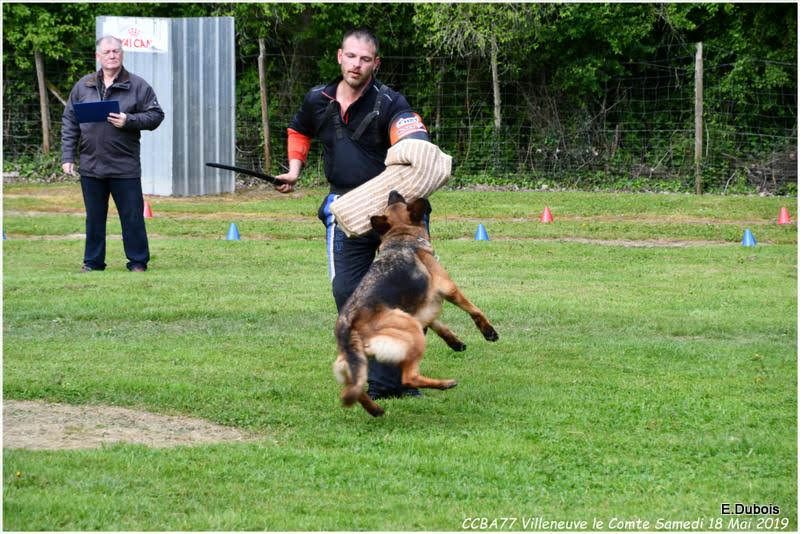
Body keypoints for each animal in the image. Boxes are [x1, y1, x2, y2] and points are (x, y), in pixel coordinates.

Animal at [332, 192, 496, 418]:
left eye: (392, 201)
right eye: (399, 200)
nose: (392, 191)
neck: (401, 237)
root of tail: (350, 325)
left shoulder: (423, 308)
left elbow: (438, 325)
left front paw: (455, 342)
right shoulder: (448, 288)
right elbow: (474, 310)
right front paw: (489, 331)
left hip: (355, 361)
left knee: (353, 389)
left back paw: (376, 409)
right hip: (411, 330)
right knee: (408, 377)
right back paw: (445, 384)